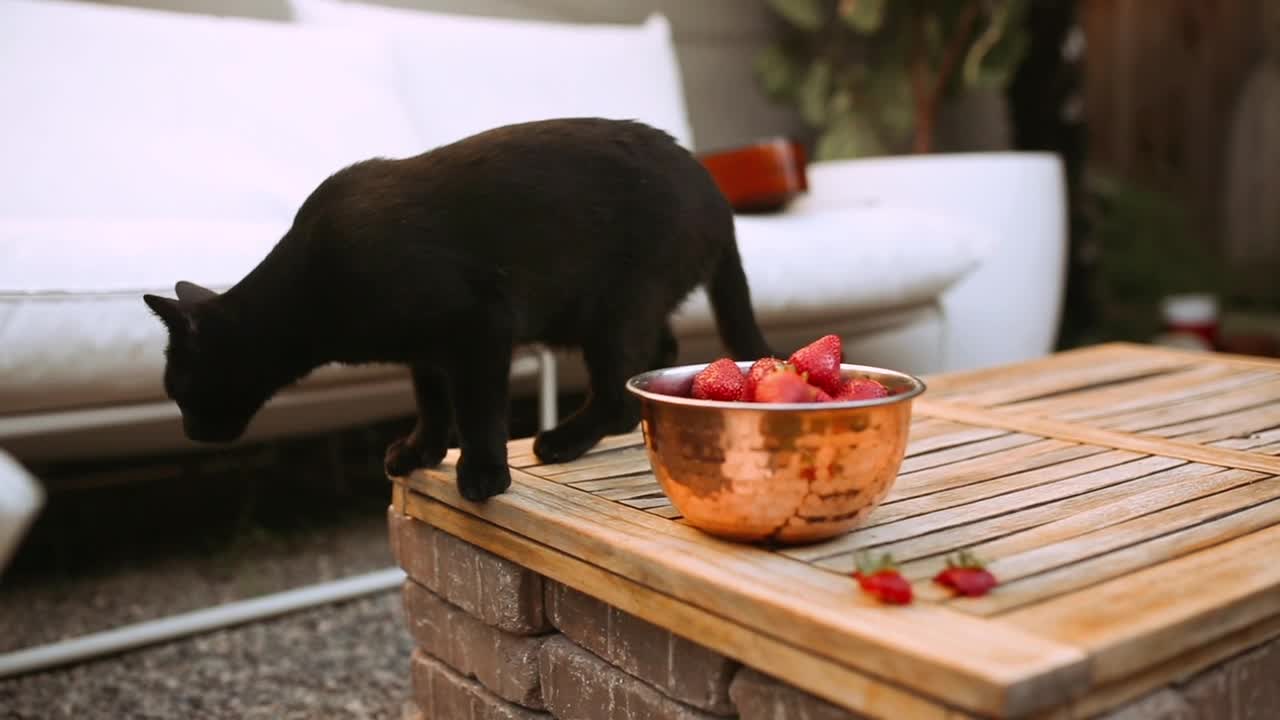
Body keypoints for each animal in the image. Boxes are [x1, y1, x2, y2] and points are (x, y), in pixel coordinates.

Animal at [145, 117, 773, 499]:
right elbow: (432, 401)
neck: (312, 286)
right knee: (656, 356)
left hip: (613, 308)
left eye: (179, 390)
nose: (190, 432)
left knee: (620, 389)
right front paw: (420, 451)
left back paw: (560, 441)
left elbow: (477, 408)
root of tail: (717, 197)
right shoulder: (426, 350)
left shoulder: (481, 328)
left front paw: (483, 473)